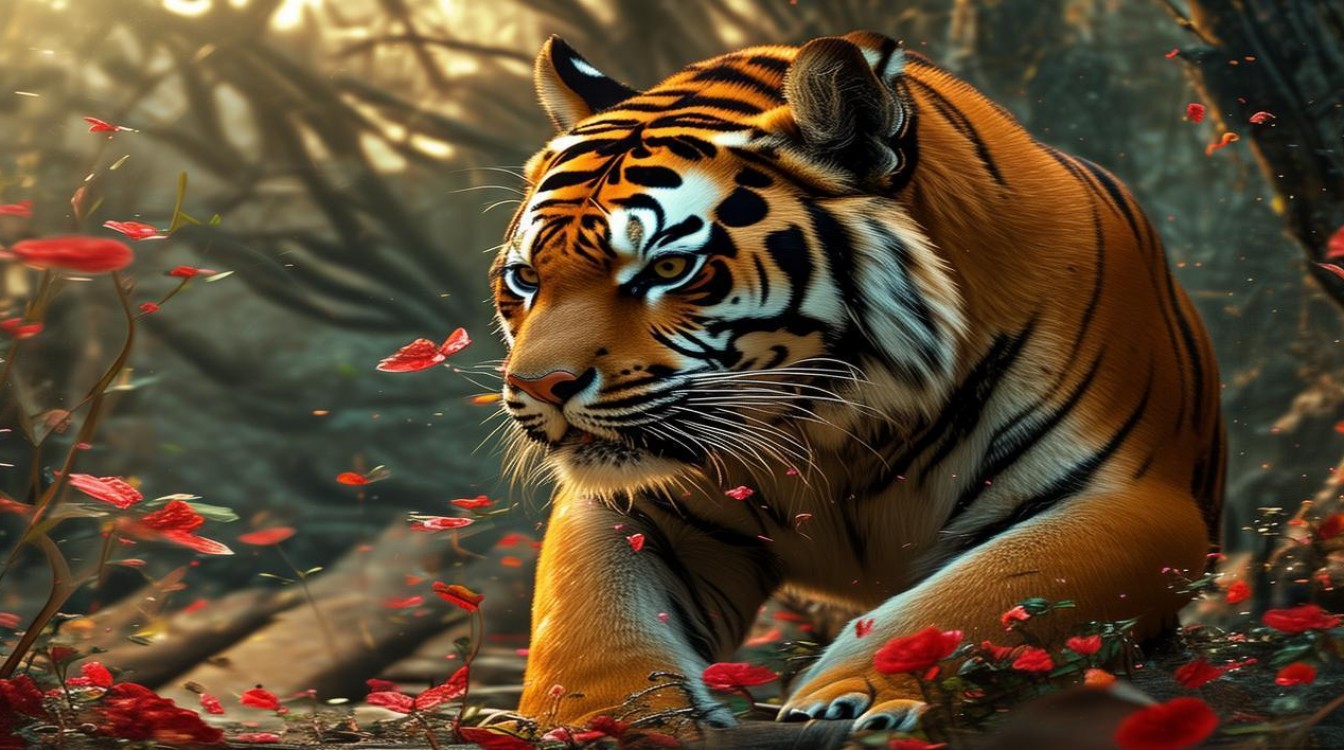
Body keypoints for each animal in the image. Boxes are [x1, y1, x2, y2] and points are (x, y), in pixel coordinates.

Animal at [492, 31, 1224, 732]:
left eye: (668, 269)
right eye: (525, 278)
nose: (538, 386)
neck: (831, 427)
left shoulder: (1128, 501)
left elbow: (977, 594)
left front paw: (853, 695)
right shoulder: (636, 508)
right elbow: (586, 611)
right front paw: (594, 717)